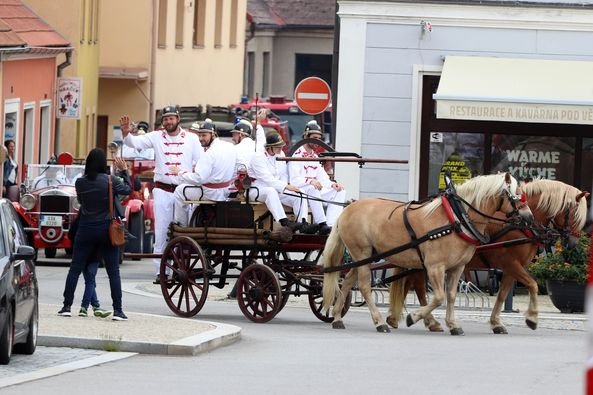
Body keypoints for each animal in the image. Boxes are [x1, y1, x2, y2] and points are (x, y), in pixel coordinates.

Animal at [324, 173, 532, 334]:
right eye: (517, 196)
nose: (529, 217)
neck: (456, 219)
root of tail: (348, 209)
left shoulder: (457, 268)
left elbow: (451, 295)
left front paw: (452, 324)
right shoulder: (435, 267)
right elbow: (439, 297)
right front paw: (413, 317)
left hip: (364, 257)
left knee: (347, 282)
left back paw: (337, 318)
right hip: (362, 253)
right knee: (364, 287)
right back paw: (380, 322)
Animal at [388, 179, 588, 334]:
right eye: (574, 215)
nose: (573, 243)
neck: (516, 225)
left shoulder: (512, 268)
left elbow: (503, 294)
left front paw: (496, 323)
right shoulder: (510, 263)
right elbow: (532, 285)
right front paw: (532, 318)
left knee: (411, 285)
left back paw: (396, 318)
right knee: (419, 288)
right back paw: (426, 320)